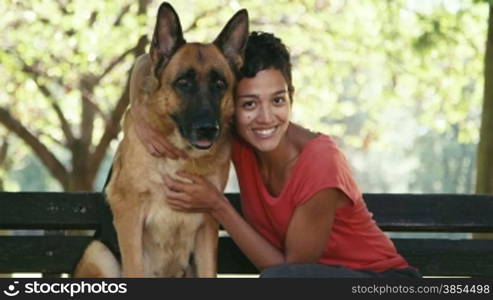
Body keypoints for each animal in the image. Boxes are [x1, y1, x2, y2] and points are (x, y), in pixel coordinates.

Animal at [73, 2, 248, 278]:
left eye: (219, 84)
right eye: (183, 83)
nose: (208, 129)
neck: (181, 155)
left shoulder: (208, 222)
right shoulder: (129, 213)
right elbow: (134, 268)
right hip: (98, 252)